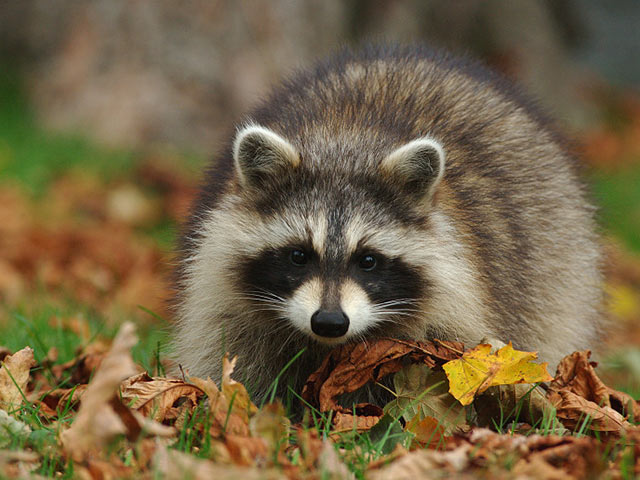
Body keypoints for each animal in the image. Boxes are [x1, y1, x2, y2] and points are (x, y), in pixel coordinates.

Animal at [172, 46, 604, 404]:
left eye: (367, 260)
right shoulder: (224, 298)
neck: (345, 142)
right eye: (298, 256)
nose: (329, 322)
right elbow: (235, 358)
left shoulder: (451, 319)